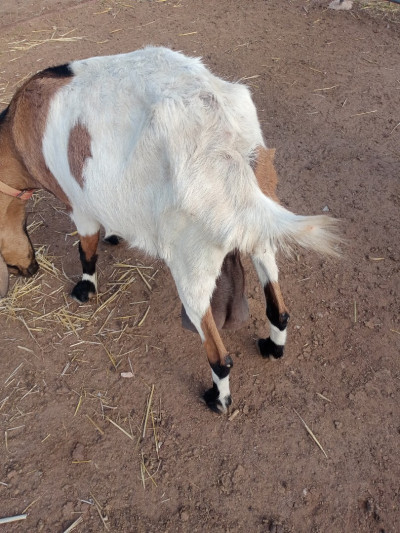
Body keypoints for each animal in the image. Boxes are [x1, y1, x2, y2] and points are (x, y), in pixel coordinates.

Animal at [0, 46, 340, 412]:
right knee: (279, 309)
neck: (19, 132)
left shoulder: (78, 205)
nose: (28, 269)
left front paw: (84, 289)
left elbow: (86, 251)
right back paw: (272, 347)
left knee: (220, 355)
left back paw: (218, 399)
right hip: (258, 227)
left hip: (193, 264)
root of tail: (225, 142)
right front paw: (114, 236)